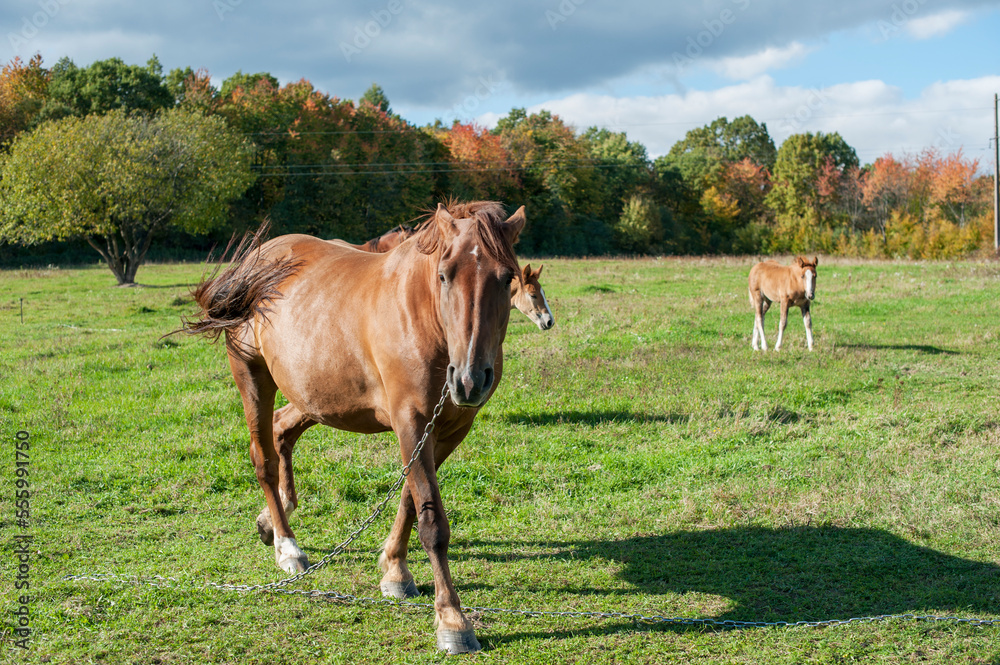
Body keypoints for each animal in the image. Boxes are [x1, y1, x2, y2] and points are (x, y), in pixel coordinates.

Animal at [183, 201, 525, 654]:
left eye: (507, 278)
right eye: (444, 275)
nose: (470, 379)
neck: (424, 316)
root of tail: (257, 260)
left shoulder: (448, 429)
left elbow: (411, 500)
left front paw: (395, 571)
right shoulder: (411, 423)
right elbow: (432, 522)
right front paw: (452, 619)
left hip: (315, 396)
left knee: (282, 430)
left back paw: (271, 522)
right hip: (252, 376)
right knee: (264, 459)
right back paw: (287, 546)